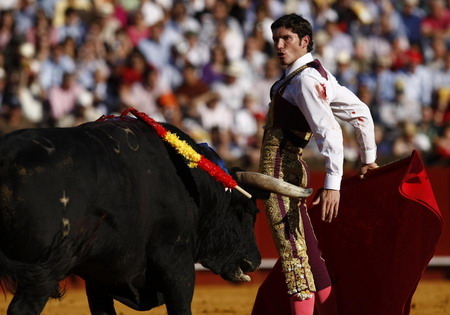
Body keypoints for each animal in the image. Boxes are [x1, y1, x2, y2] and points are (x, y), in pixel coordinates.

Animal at [0, 118, 268, 315]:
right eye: (247, 211)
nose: (254, 261)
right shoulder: (177, 260)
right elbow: (181, 306)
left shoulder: (98, 275)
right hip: (44, 271)